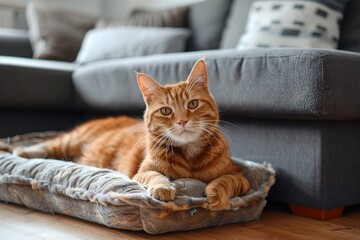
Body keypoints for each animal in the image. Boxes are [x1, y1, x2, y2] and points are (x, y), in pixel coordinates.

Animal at [12, 58, 249, 210]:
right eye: (166, 111)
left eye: (193, 104)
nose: (182, 121)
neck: (190, 156)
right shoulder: (140, 173)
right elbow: (155, 175)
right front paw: (163, 187)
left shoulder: (241, 177)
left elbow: (227, 180)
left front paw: (216, 193)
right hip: (71, 141)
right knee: (47, 144)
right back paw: (19, 150)